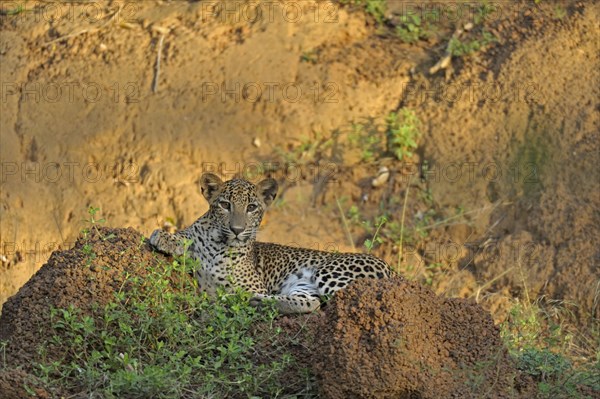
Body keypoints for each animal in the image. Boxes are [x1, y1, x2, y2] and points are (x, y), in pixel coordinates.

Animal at [149, 173, 392, 314]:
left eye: (251, 208)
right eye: (225, 205)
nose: (237, 230)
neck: (219, 244)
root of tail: (392, 269)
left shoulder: (254, 283)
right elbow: (186, 237)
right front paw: (163, 237)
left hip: (329, 272)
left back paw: (246, 299)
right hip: (303, 285)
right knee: (308, 303)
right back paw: (254, 301)